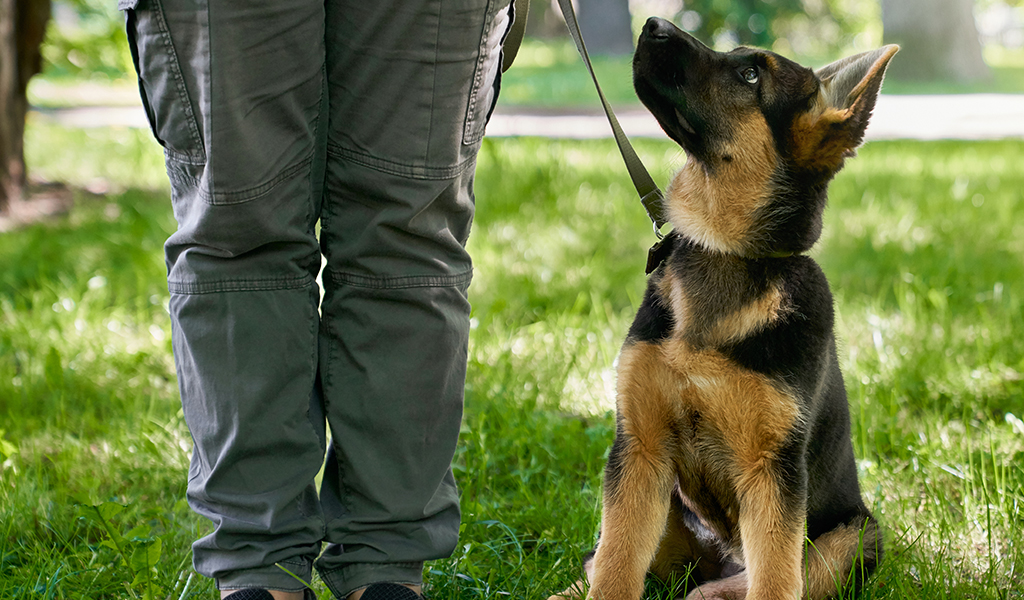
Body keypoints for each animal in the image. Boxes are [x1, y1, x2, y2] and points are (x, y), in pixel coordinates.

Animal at [552, 16, 897, 597]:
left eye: (750, 74)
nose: (653, 23)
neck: (724, 249)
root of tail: (716, 563)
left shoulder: (772, 471)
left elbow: (777, 579)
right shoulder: (639, 449)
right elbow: (617, 567)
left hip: (853, 535)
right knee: (601, 563)